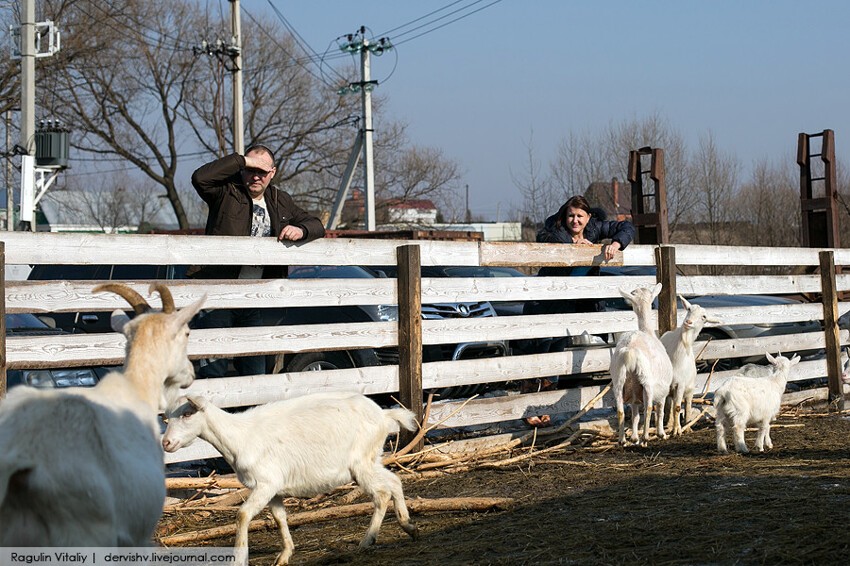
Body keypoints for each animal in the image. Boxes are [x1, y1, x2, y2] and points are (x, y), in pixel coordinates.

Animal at [161, 392, 420, 566]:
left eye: (187, 414)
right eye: (167, 419)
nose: (166, 443)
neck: (239, 437)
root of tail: (384, 414)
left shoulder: (265, 483)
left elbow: (242, 515)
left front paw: (239, 558)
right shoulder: (275, 490)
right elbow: (279, 518)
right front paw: (285, 554)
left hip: (361, 462)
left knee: (382, 493)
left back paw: (368, 539)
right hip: (371, 459)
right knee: (394, 481)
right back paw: (409, 526)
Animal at [608, 284, 672, 448]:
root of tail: (629, 350)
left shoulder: (633, 397)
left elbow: (635, 416)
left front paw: (634, 438)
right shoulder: (663, 391)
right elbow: (660, 411)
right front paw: (661, 434)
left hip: (619, 382)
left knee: (620, 411)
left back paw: (623, 440)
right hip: (646, 381)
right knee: (649, 408)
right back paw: (645, 438)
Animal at [660, 300, 720, 438]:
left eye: (704, 317)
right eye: (688, 309)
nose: (688, 322)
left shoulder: (680, 384)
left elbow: (678, 407)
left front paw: (677, 430)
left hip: (689, 388)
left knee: (686, 404)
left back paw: (686, 426)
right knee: (669, 403)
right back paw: (669, 424)